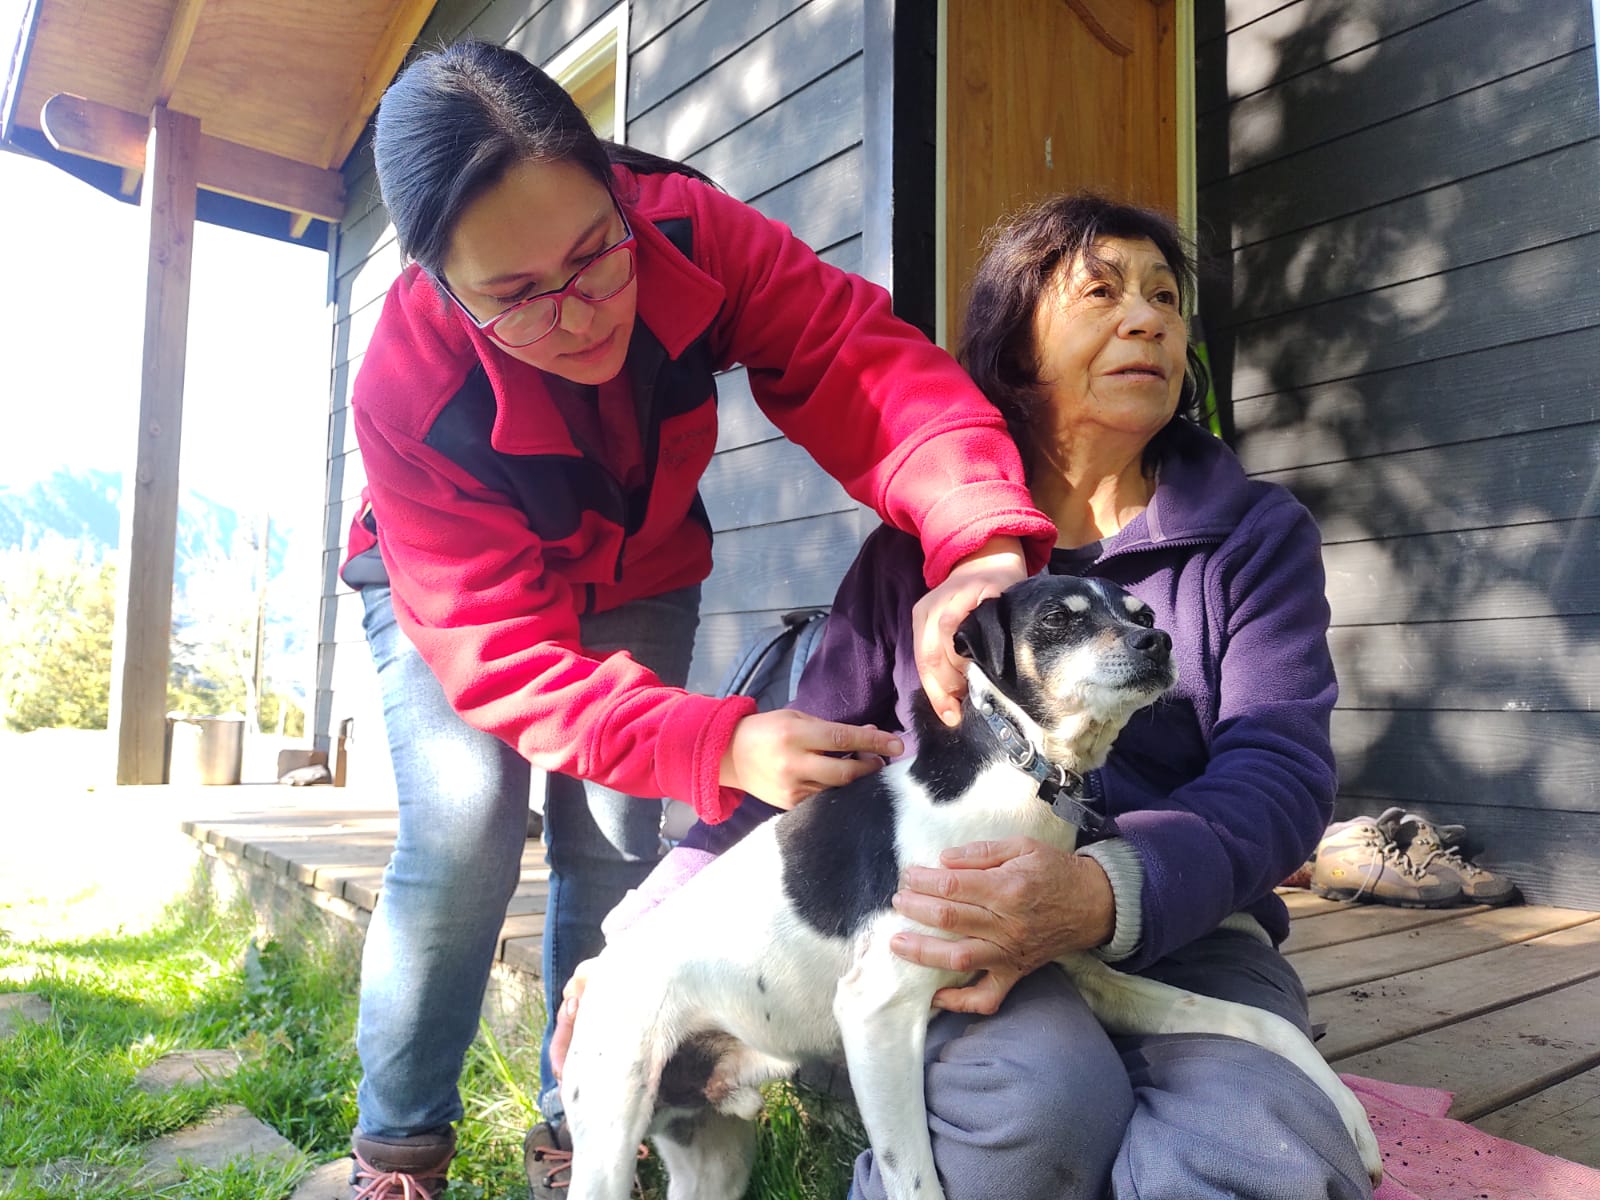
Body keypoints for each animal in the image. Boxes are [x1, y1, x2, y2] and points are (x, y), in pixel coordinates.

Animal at [556, 579, 1382, 1196]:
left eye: (1143, 615)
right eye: (1058, 618)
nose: (1158, 642)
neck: (1016, 781)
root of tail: (603, 971)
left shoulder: (1088, 974)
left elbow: (1262, 1024)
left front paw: (1351, 1118)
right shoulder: (876, 1014)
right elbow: (915, 1180)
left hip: (713, 1151)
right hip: (612, 1133)